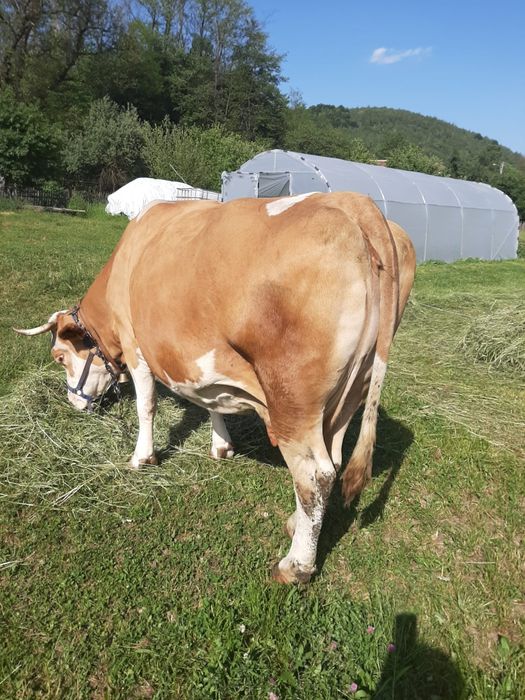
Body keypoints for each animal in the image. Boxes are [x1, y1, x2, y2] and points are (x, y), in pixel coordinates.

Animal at [15, 192, 415, 584]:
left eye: (59, 357)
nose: (74, 403)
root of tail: (357, 205)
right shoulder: (198, 360)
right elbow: (211, 402)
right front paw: (221, 445)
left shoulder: (135, 343)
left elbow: (147, 405)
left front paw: (142, 457)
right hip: (351, 390)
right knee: (332, 461)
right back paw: (296, 525)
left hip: (293, 399)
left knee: (314, 475)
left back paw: (296, 565)